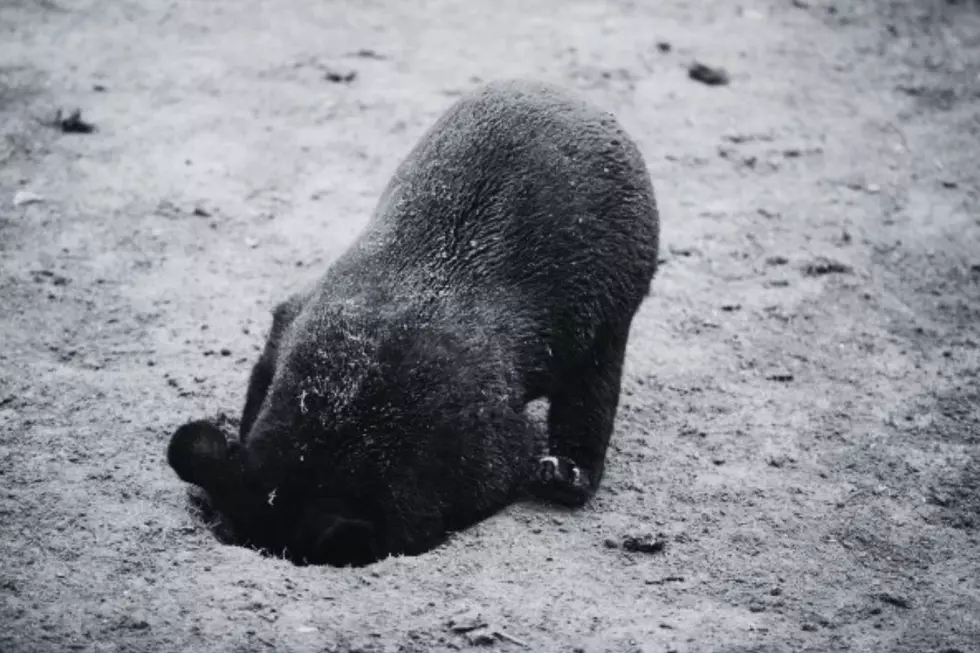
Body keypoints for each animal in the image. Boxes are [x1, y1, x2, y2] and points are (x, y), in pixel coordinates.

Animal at [167, 78, 660, 567]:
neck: (340, 417)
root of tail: (578, 101)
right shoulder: (287, 322)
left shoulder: (490, 452)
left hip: (612, 318)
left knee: (591, 390)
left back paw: (562, 476)